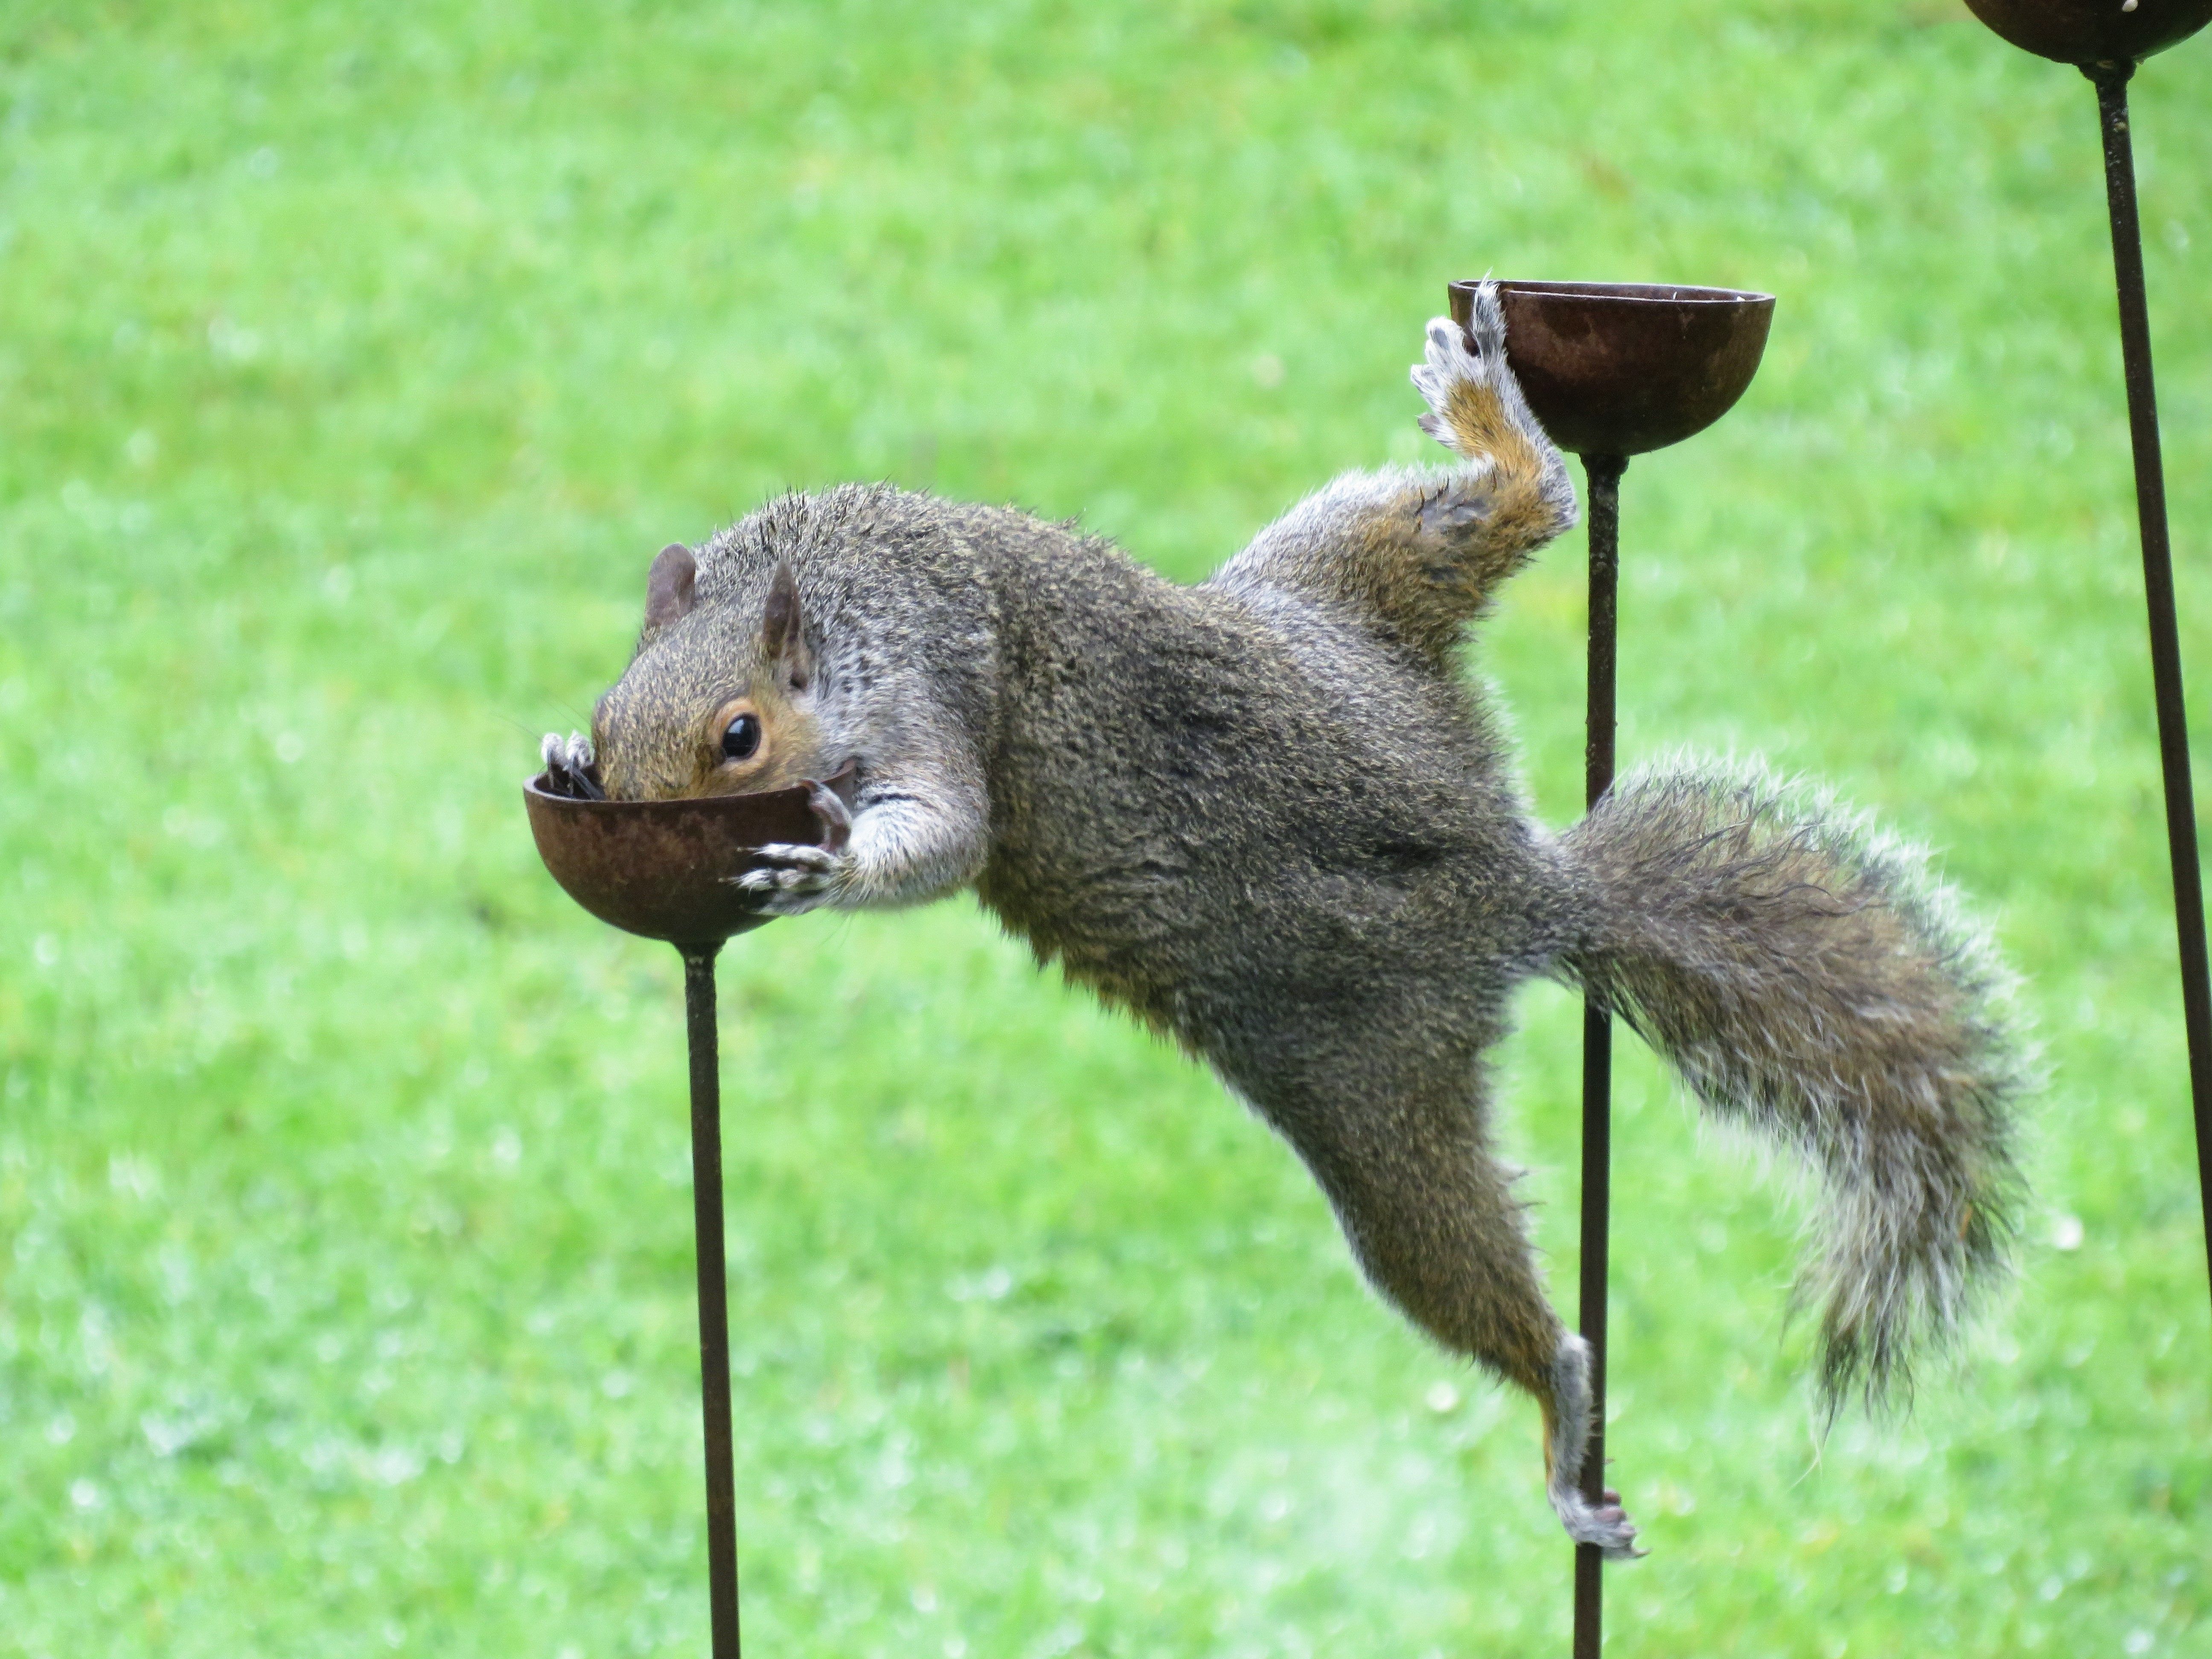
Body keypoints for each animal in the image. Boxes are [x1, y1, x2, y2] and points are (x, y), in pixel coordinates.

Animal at [544, 282, 2026, 1558]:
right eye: (615, 716)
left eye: (740, 737)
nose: (608, 772)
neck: (805, 595)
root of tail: (1518, 881)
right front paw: (560, 755)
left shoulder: (932, 687)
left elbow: (951, 830)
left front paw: (833, 856)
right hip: (1340, 597)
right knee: (1502, 513)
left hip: (1371, 1083)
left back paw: (1561, 1412)